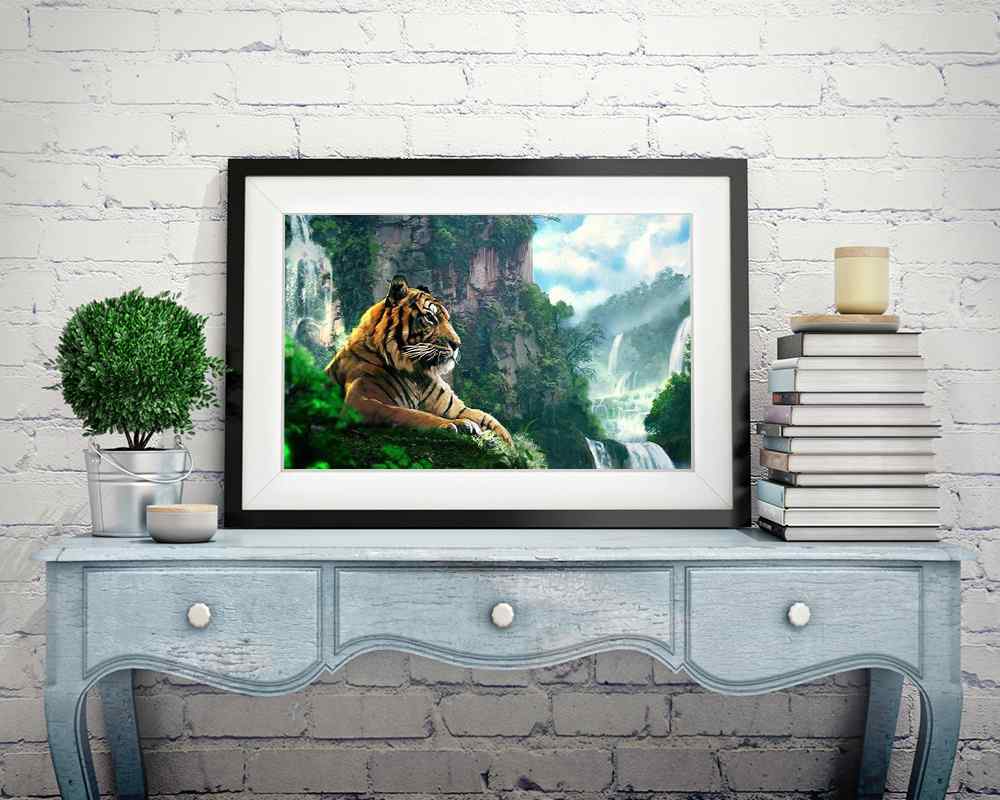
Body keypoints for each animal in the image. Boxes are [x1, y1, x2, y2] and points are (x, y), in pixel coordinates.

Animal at [325, 275, 513, 445]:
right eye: (430, 317)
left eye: (447, 319)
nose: (457, 344)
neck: (417, 375)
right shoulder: (360, 401)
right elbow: (409, 414)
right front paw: (458, 425)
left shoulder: (455, 407)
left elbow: (488, 419)